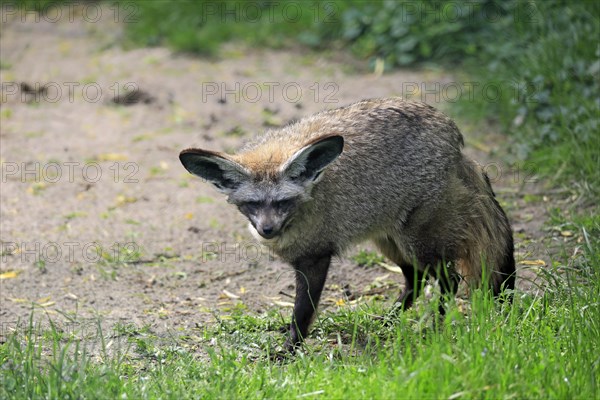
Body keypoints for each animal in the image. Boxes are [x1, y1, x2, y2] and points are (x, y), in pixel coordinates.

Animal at [179, 97, 516, 354]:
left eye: (283, 202)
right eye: (252, 204)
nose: (267, 230)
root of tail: (451, 131)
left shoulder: (315, 258)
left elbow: (302, 312)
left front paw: (289, 350)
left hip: (418, 243)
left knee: (449, 281)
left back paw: (433, 326)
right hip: (390, 243)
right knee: (416, 281)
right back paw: (390, 320)